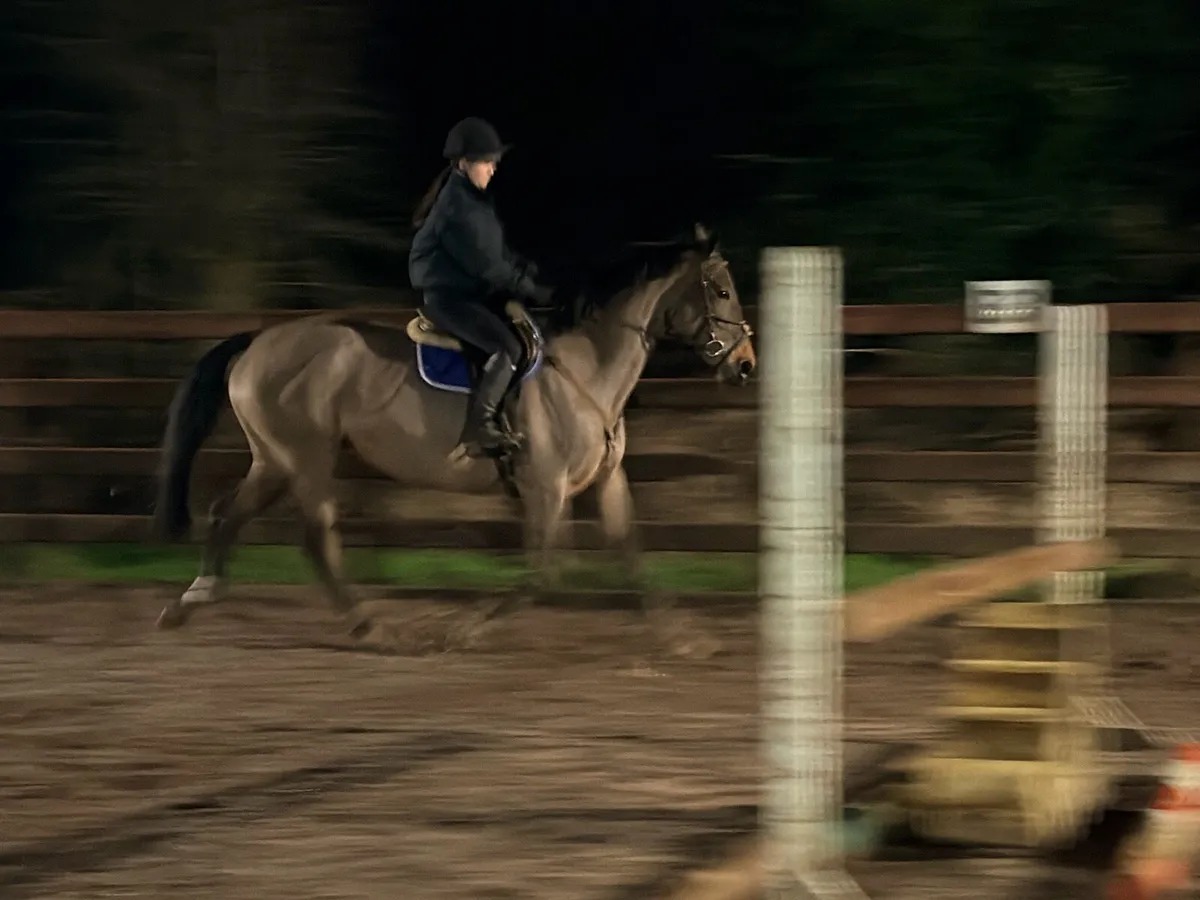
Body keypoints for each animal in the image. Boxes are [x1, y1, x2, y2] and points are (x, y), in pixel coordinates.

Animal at [151, 223, 756, 655]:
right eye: (722, 290)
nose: (746, 366)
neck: (587, 372)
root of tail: (258, 342)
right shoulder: (546, 489)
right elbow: (541, 573)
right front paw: (461, 632)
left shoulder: (605, 482)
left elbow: (630, 553)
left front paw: (680, 637)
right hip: (305, 459)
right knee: (315, 538)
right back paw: (367, 625)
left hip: (275, 459)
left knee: (228, 513)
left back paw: (193, 599)